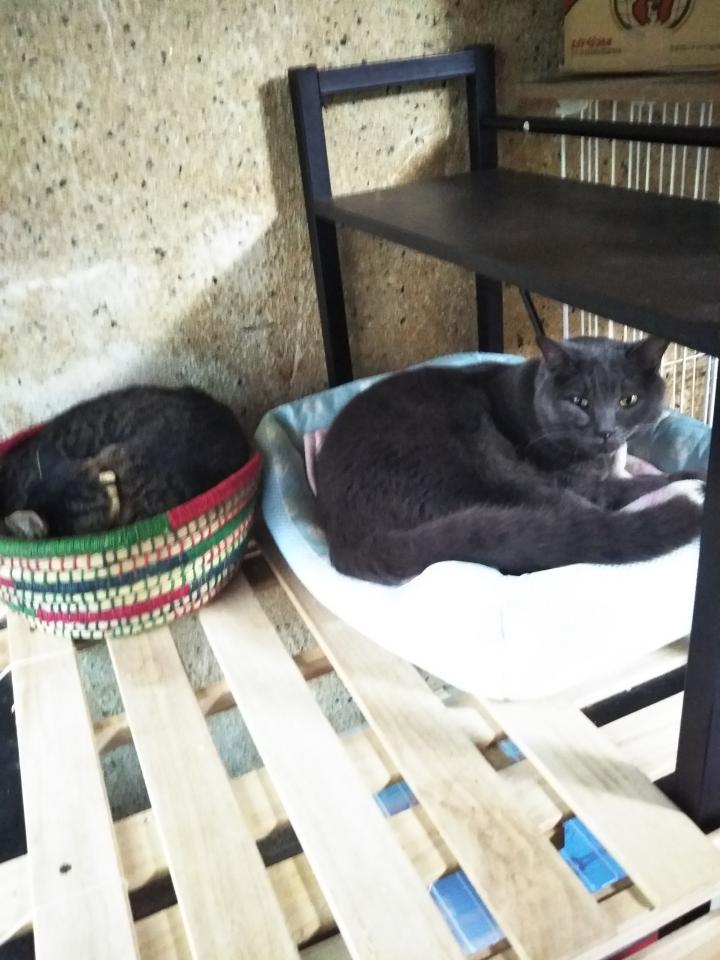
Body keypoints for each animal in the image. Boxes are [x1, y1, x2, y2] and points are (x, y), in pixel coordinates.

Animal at [315, 336, 706, 583]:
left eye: (628, 400)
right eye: (579, 401)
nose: (606, 430)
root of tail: (344, 535)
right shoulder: (574, 478)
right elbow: (628, 486)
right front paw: (692, 477)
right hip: (484, 463)